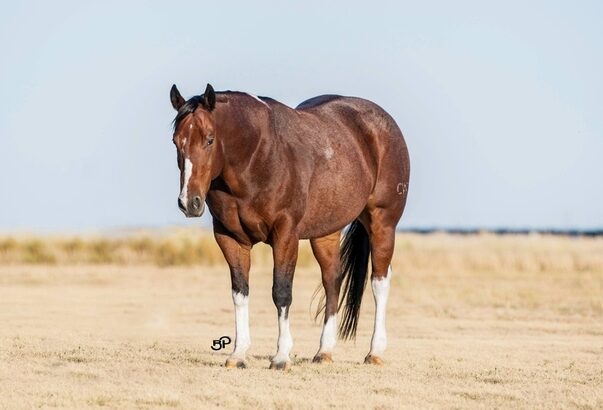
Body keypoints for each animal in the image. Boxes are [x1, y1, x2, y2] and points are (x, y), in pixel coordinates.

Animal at [170, 83, 410, 372]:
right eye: (176, 141)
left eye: (209, 139)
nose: (189, 202)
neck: (256, 158)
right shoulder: (229, 238)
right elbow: (240, 292)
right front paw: (238, 354)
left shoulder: (285, 234)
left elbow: (281, 293)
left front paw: (281, 356)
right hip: (325, 232)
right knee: (333, 279)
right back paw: (324, 351)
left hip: (382, 222)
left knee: (379, 281)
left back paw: (374, 351)